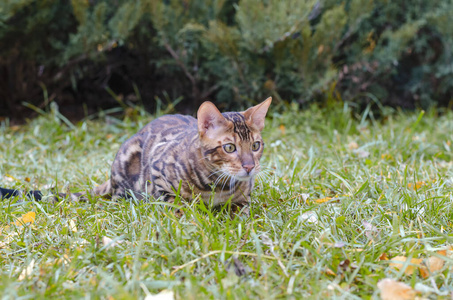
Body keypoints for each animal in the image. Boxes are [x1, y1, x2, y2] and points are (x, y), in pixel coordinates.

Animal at [0, 97, 272, 212]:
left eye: (255, 146)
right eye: (230, 148)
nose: (249, 167)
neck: (218, 185)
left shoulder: (243, 199)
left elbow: (241, 211)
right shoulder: (158, 175)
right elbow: (178, 205)